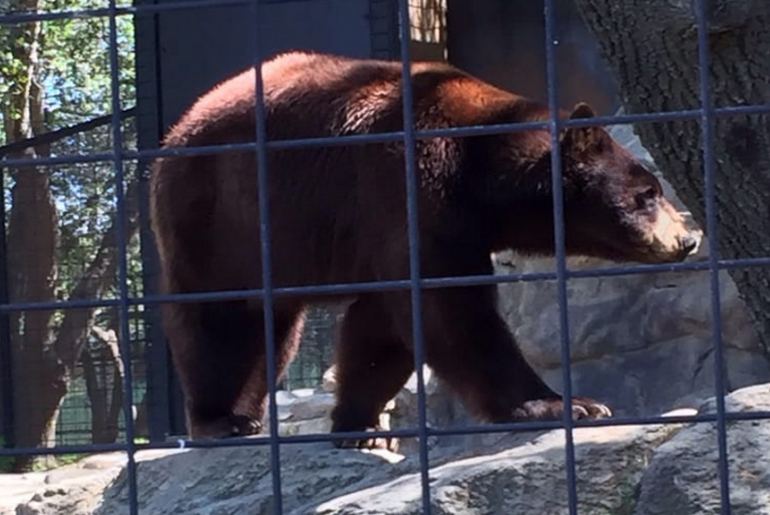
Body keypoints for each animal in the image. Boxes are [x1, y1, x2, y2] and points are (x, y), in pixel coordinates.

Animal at [148, 52, 696, 448]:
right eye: (647, 194)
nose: (688, 239)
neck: (482, 168)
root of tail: (178, 129)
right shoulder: (410, 187)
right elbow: (449, 313)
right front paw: (568, 403)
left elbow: (382, 325)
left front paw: (360, 425)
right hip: (218, 212)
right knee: (223, 316)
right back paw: (224, 420)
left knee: (273, 323)